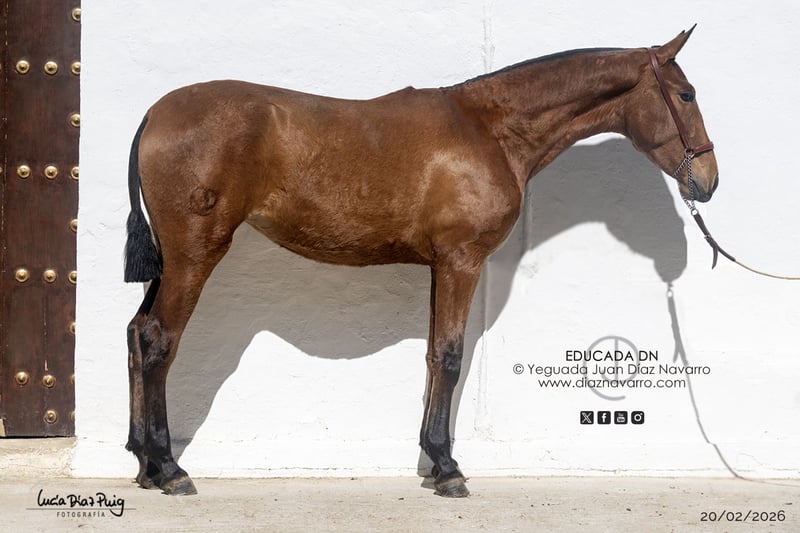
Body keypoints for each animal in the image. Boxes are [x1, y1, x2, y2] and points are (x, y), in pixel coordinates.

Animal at [124, 27, 718, 497]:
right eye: (686, 94)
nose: (708, 182)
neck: (490, 130)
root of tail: (154, 113)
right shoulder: (461, 261)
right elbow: (451, 358)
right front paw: (449, 467)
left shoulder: (440, 266)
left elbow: (435, 355)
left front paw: (433, 461)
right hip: (194, 255)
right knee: (159, 340)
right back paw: (170, 468)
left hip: (171, 262)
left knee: (136, 332)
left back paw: (145, 464)